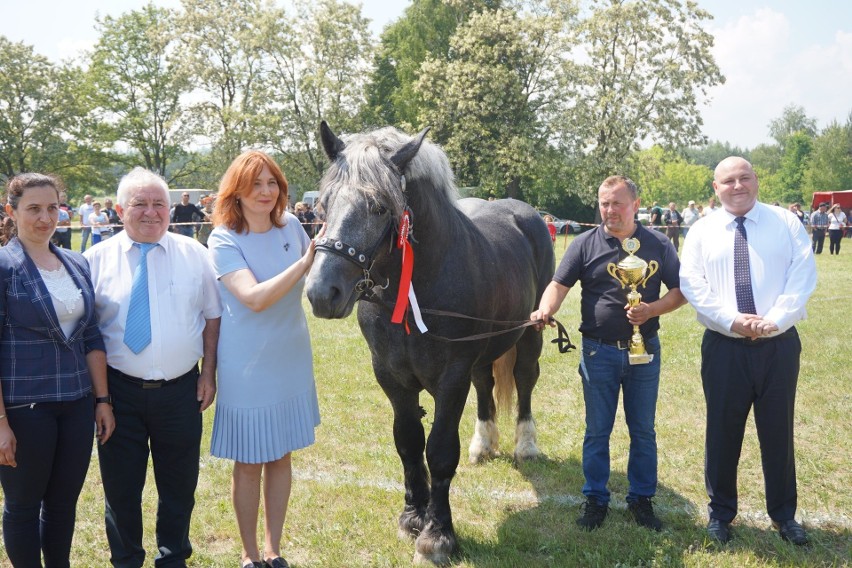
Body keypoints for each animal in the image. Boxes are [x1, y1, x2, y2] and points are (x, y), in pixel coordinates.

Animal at [304, 123, 552, 564]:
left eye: (380, 207)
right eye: (324, 206)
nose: (321, 292)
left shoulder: (451, 379)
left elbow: (438, 451)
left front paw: (437, 537)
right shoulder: (391, 376)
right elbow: (407, 443)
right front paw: (412, 518)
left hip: (530, 332)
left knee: (524, 380)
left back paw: (525, 445)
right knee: (486, 385)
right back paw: (483, 445)